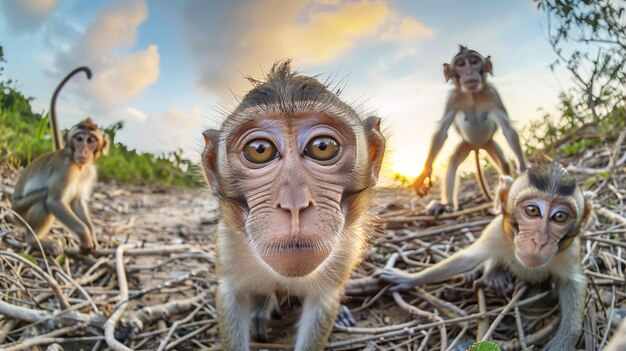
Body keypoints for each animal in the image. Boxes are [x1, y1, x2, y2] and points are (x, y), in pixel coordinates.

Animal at [10, 67, 107, 256]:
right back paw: (34, 240)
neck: (78, 165)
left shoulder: (89, 171)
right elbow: (54, 201)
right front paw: (85, 237)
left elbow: (77, 201)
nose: (83, 150)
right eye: (79, 138)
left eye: (90, 140)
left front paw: (92, 235)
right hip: (20, 212)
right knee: (43, 199)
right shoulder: (66, 168)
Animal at [200, 61, 386, 351]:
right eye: (260, 150)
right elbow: (233, 295)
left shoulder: (344, 252)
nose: (294, 204)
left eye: (323, 147)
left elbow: (323, 301)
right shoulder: (229, 245)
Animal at [378, 164, 588, 350]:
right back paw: (493, 275)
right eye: (532, 210)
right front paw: (410, 278)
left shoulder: (570, 250)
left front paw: (566, 338)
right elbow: (467, 259)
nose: (539, 241)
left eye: (560, 216)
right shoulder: (496, 231)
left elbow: (573, 283)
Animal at [414, 45, 528, 216]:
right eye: (461, 64)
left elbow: (507, 128)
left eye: (474, 62)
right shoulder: (453, 98)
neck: (472, 94)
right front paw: (425, 172)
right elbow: (442, 132)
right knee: (453, 162)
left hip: (489, 143)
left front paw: (523, 170)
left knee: (504, 164)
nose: (469, 72)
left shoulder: (493, 93)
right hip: (466, 144)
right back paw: (446, 204)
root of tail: (477, 147)